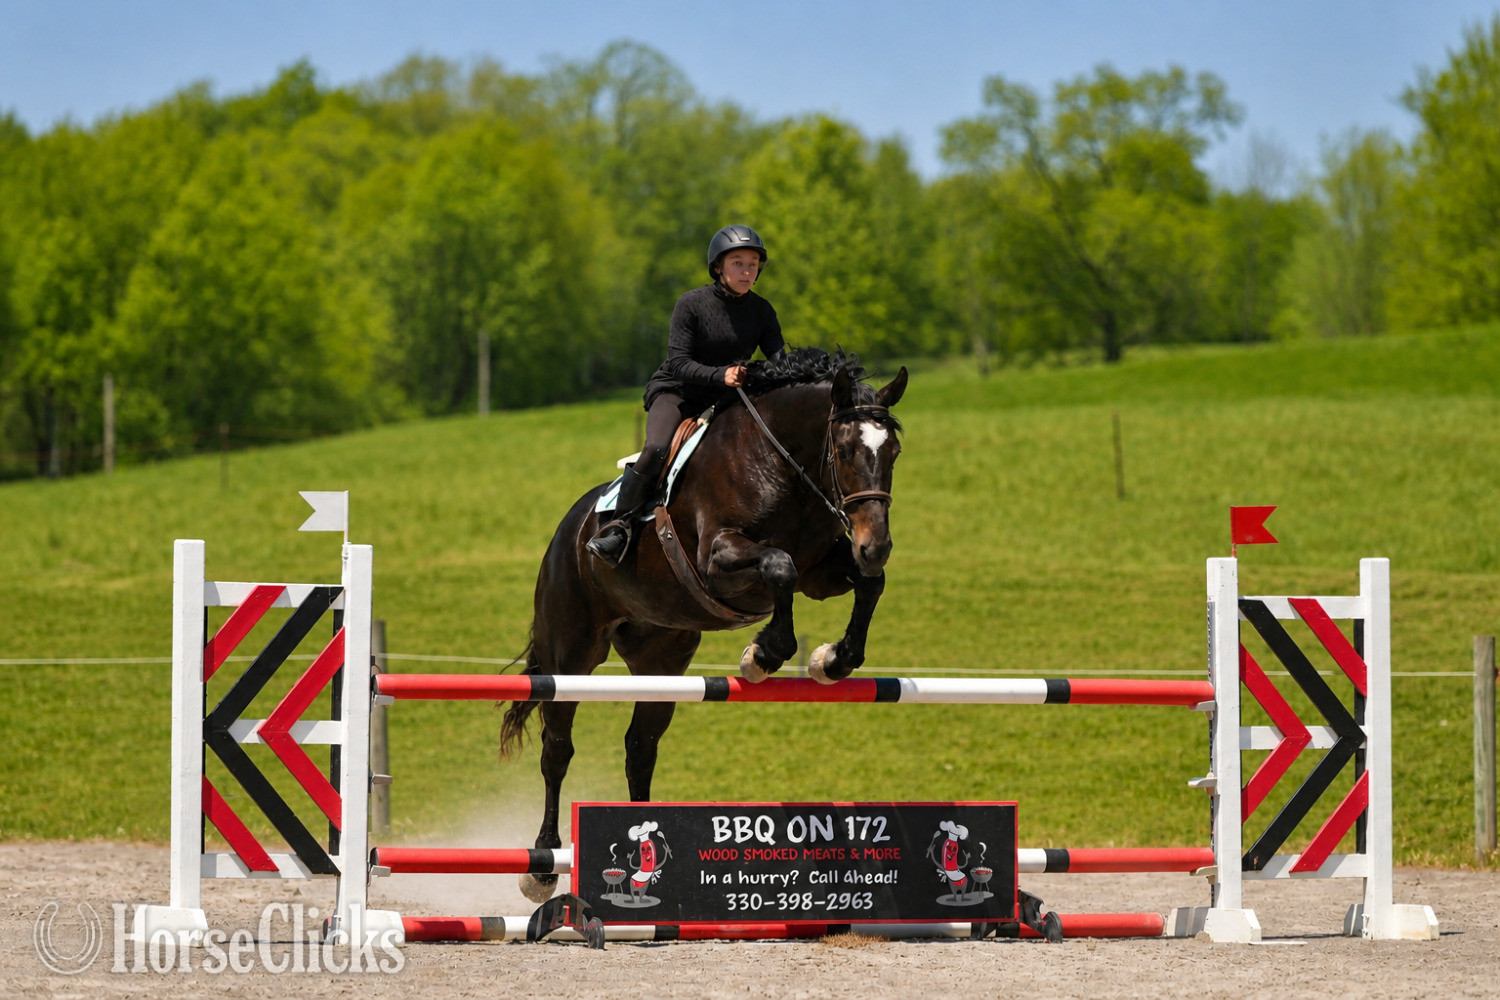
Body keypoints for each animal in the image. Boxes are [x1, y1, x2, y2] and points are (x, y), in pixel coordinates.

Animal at [499, 348, 907, 903]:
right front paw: (763, 655)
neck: (783, 465)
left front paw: (831, 661)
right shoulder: (720, 559)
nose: (876, 544)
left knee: (640, 748)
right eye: (844, 450)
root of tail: (569, 531)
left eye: (894, 452)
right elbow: (780, 566)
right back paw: (540, 868)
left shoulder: (823, 572)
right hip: (571, 654)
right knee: (557, 748)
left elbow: (867, 584)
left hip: (661, 660)